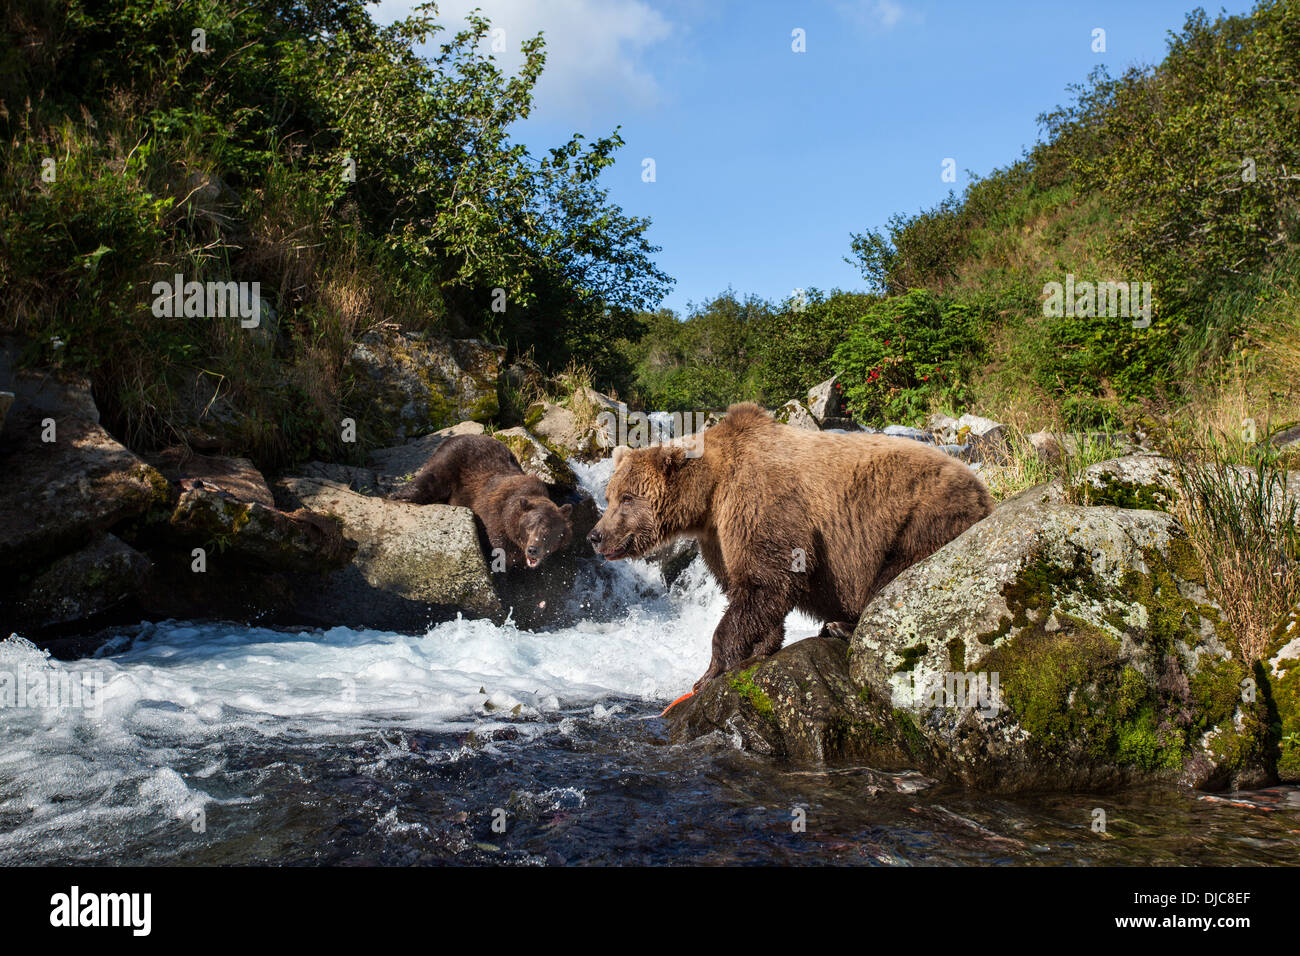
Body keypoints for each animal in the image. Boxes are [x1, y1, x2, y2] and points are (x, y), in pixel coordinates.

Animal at [392, 434, 573, 570]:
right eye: (529, 526)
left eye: (548, 530)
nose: (533, 549)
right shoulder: (496, 526)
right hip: (450, 460)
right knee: (431, 479)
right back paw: (401, 496)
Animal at [587, 402, 993, 690]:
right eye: (610, 496)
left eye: (627, 498)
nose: (595, 535)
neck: (709, 496)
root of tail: (983, 492)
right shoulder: (718, 534)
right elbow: (752, 588)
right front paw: (759, 649)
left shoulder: (760, 502)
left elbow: (768, 577)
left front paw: (711, 670)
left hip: (922, 516)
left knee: (895, 579)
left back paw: (843, 625)